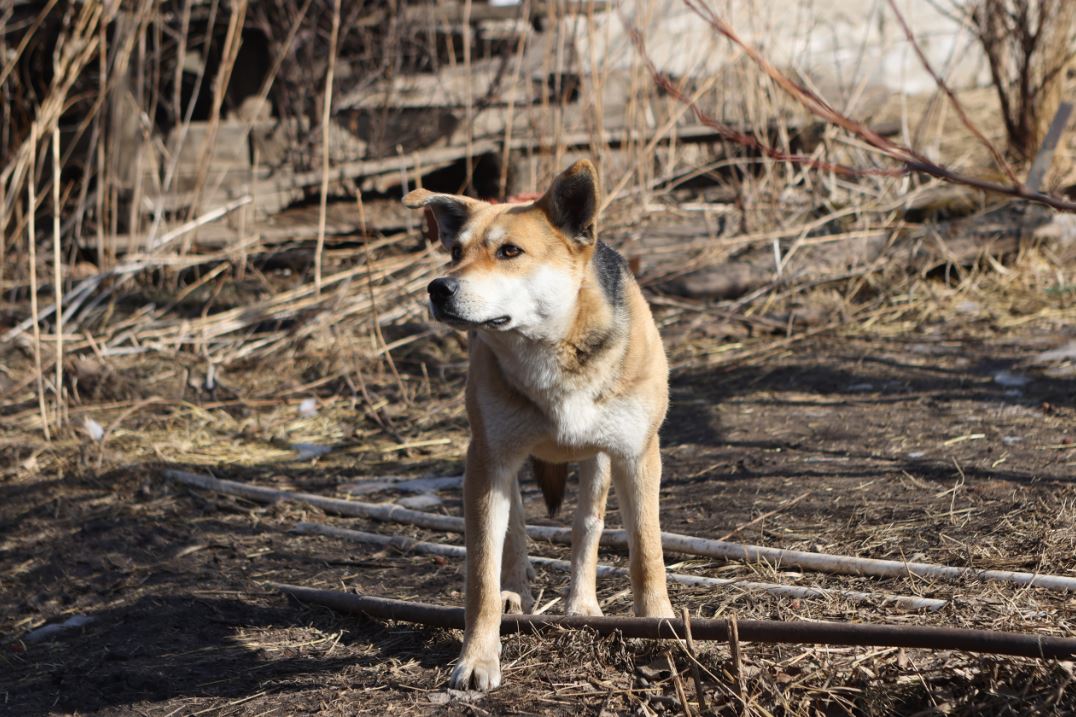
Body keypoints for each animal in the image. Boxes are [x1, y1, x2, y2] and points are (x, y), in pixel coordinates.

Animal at [404, 160, 671, 689]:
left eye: (510, 252)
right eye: (455, 252)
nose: (438, 288)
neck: (550, 352)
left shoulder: (638, 455)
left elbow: (647, 556)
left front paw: (661, 628)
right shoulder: (488, 463)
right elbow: (481, 576)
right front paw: (478, 657)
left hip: (599, 460)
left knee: (587, 525)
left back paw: (582, 603)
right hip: (500, 462)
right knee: (514, 534)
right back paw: (516, 596)